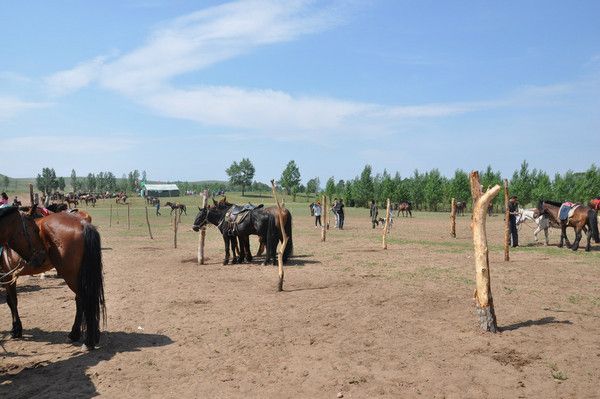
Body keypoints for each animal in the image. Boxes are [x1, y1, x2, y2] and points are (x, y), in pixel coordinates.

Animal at [0, 206, 106, 350]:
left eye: (36, 230)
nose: (41, 256)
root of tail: (82, 223)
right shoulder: (8, 276)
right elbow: (10, 301)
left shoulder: (8, 275)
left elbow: (12, 301)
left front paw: (16, 330)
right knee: (82, 300)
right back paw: (79, 335)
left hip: (71, 275)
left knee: (84, 299)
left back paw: (88, 341)